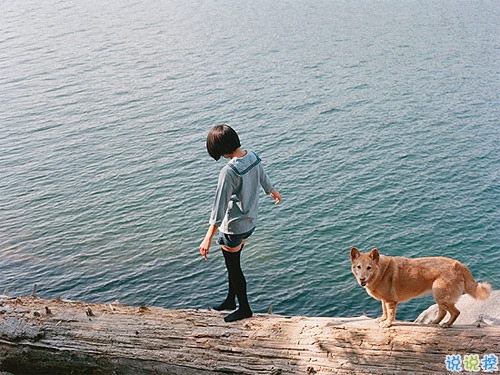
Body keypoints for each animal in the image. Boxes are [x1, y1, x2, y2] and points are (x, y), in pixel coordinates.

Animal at [350, 248, 490, 328]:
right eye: (358, 267)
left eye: (369, 267)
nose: (362, 279)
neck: (381, 271)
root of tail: (459, 264)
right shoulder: (384, 300)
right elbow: (384, 310)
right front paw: (383, 319)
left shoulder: (390, 301)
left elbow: (390, 314)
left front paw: (387, 323)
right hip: (439, 296)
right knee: (443, 312)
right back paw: (435, 322)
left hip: (441, 296)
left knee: (455, 312)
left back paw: (447, 324)